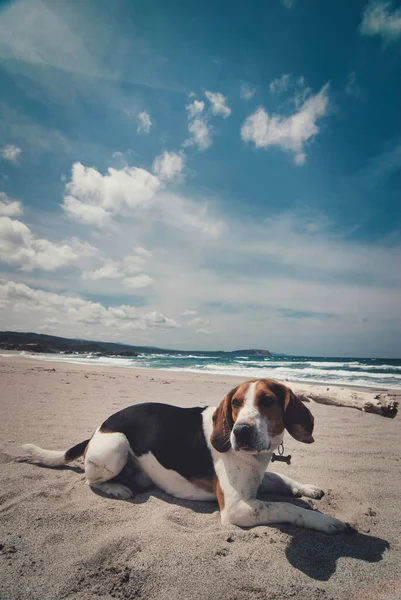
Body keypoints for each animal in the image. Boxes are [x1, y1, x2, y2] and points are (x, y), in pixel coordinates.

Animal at [20, 380, 348, 536]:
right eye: (235, 403)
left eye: (267, 401)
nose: (240, 432)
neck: (258, 456)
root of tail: (96, 430)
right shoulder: (237, 507)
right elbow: (288, 508)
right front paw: (324, 521)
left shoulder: (257, 478)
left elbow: (281, 478)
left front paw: (306, 489)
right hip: (116, 446)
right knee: (91, 481)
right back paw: (116, 488)